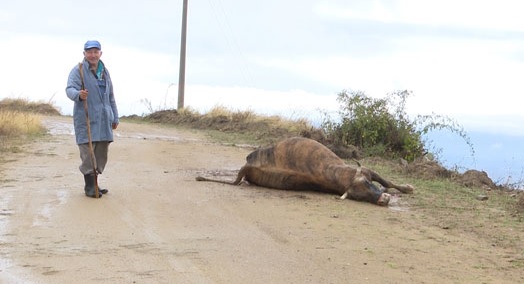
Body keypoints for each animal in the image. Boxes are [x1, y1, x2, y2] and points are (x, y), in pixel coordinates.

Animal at [196, 136, 414, 205]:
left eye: (368, 183)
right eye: (358, 197)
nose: (383, 200)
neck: (342, 177)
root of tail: (248, 164)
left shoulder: (369, 171)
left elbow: (387, 182)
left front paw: (408, 188)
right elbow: (387, 182)